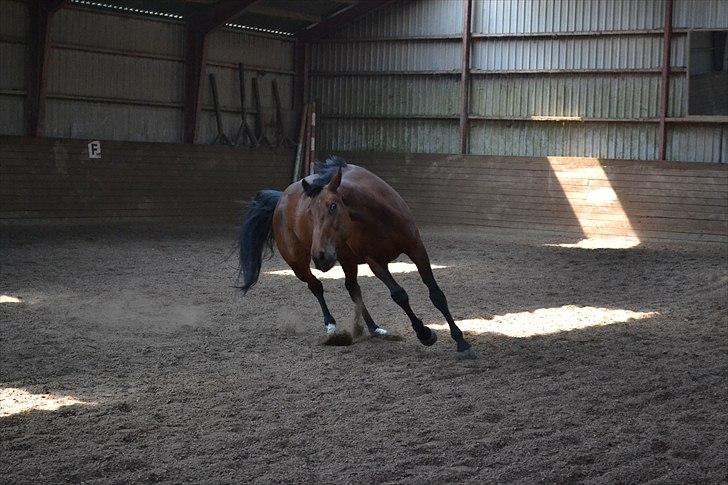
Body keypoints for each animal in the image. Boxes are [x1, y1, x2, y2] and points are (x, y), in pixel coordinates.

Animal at [237, 157, 478, 358]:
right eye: (309, 213)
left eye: (333, 206)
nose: (320, 256)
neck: (377, 216)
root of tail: (279, 200)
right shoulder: (375, 262)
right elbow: (399, 295)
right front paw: (425, 333)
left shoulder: (416, 248)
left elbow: (436, 294)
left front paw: (461, 341)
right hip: (298, 264)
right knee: (316, 287)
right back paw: (331, 326)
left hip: (347, 260)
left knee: (353, 289)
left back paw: (375, 329)